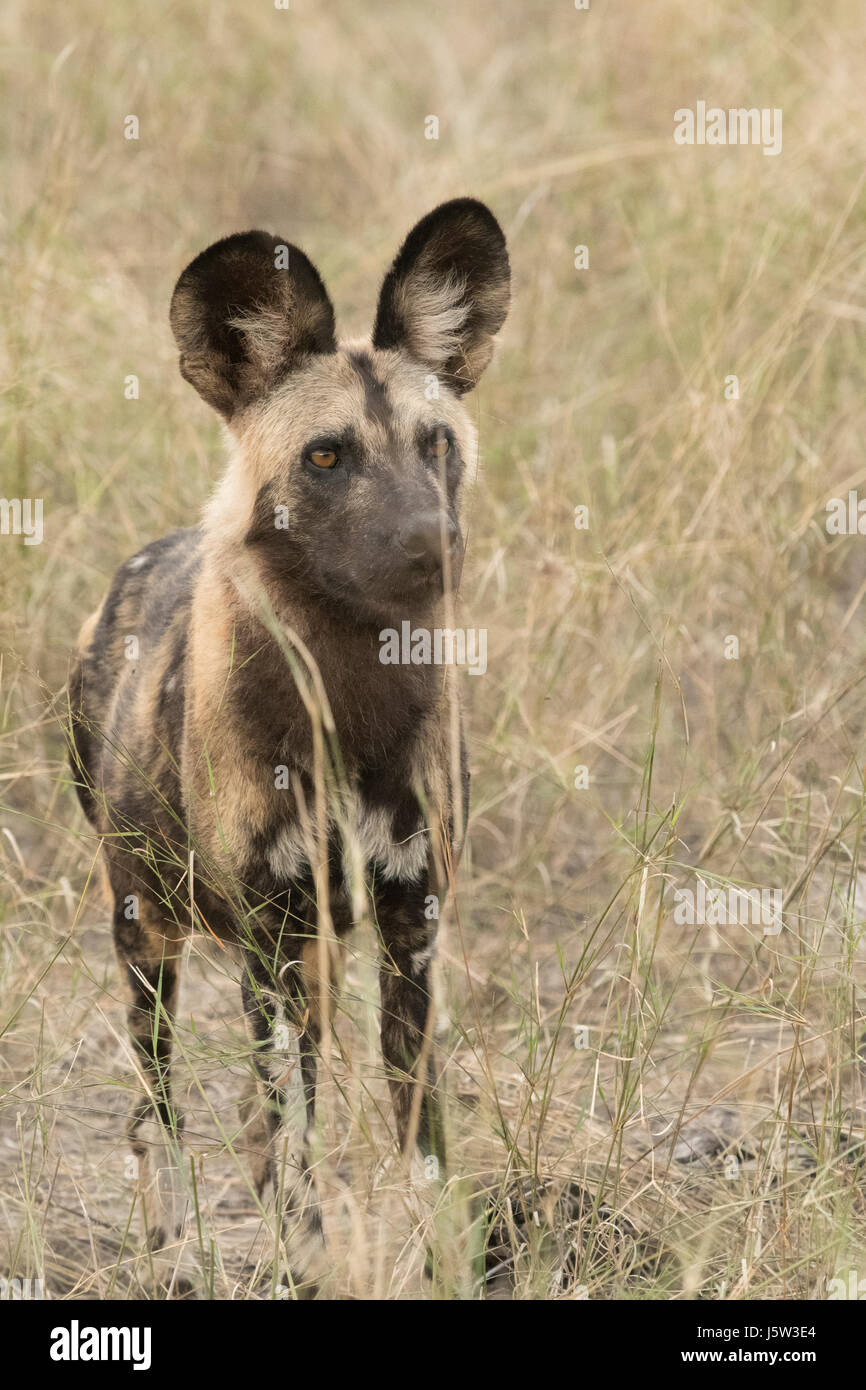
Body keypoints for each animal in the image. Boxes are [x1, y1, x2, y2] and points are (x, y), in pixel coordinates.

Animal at [71, 198, 511, 1289]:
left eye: (435, 444)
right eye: (325, 456)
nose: (434, 544)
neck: (348, 695)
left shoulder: (408, 925)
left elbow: (420, 1140)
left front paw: (436, 1265)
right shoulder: (266, 940)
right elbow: (292, 1141)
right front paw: (293, 1273)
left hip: (307, 955)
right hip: (149, 940)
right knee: (159, 1112)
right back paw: (171, 1256)